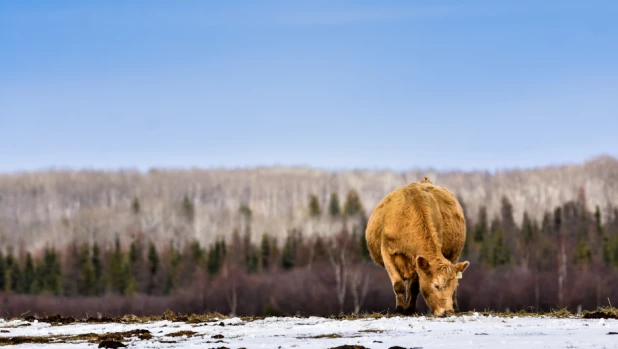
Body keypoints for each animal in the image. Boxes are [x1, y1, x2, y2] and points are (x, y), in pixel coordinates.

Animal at [366, 177, 466, 316]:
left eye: (452, 287)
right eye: (436, 285)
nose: (448, 311)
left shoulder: (417, 261)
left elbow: (414, 287)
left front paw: (410, 309)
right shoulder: (387, 253)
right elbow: (398, 285)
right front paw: (400, 309)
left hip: (455, 255)